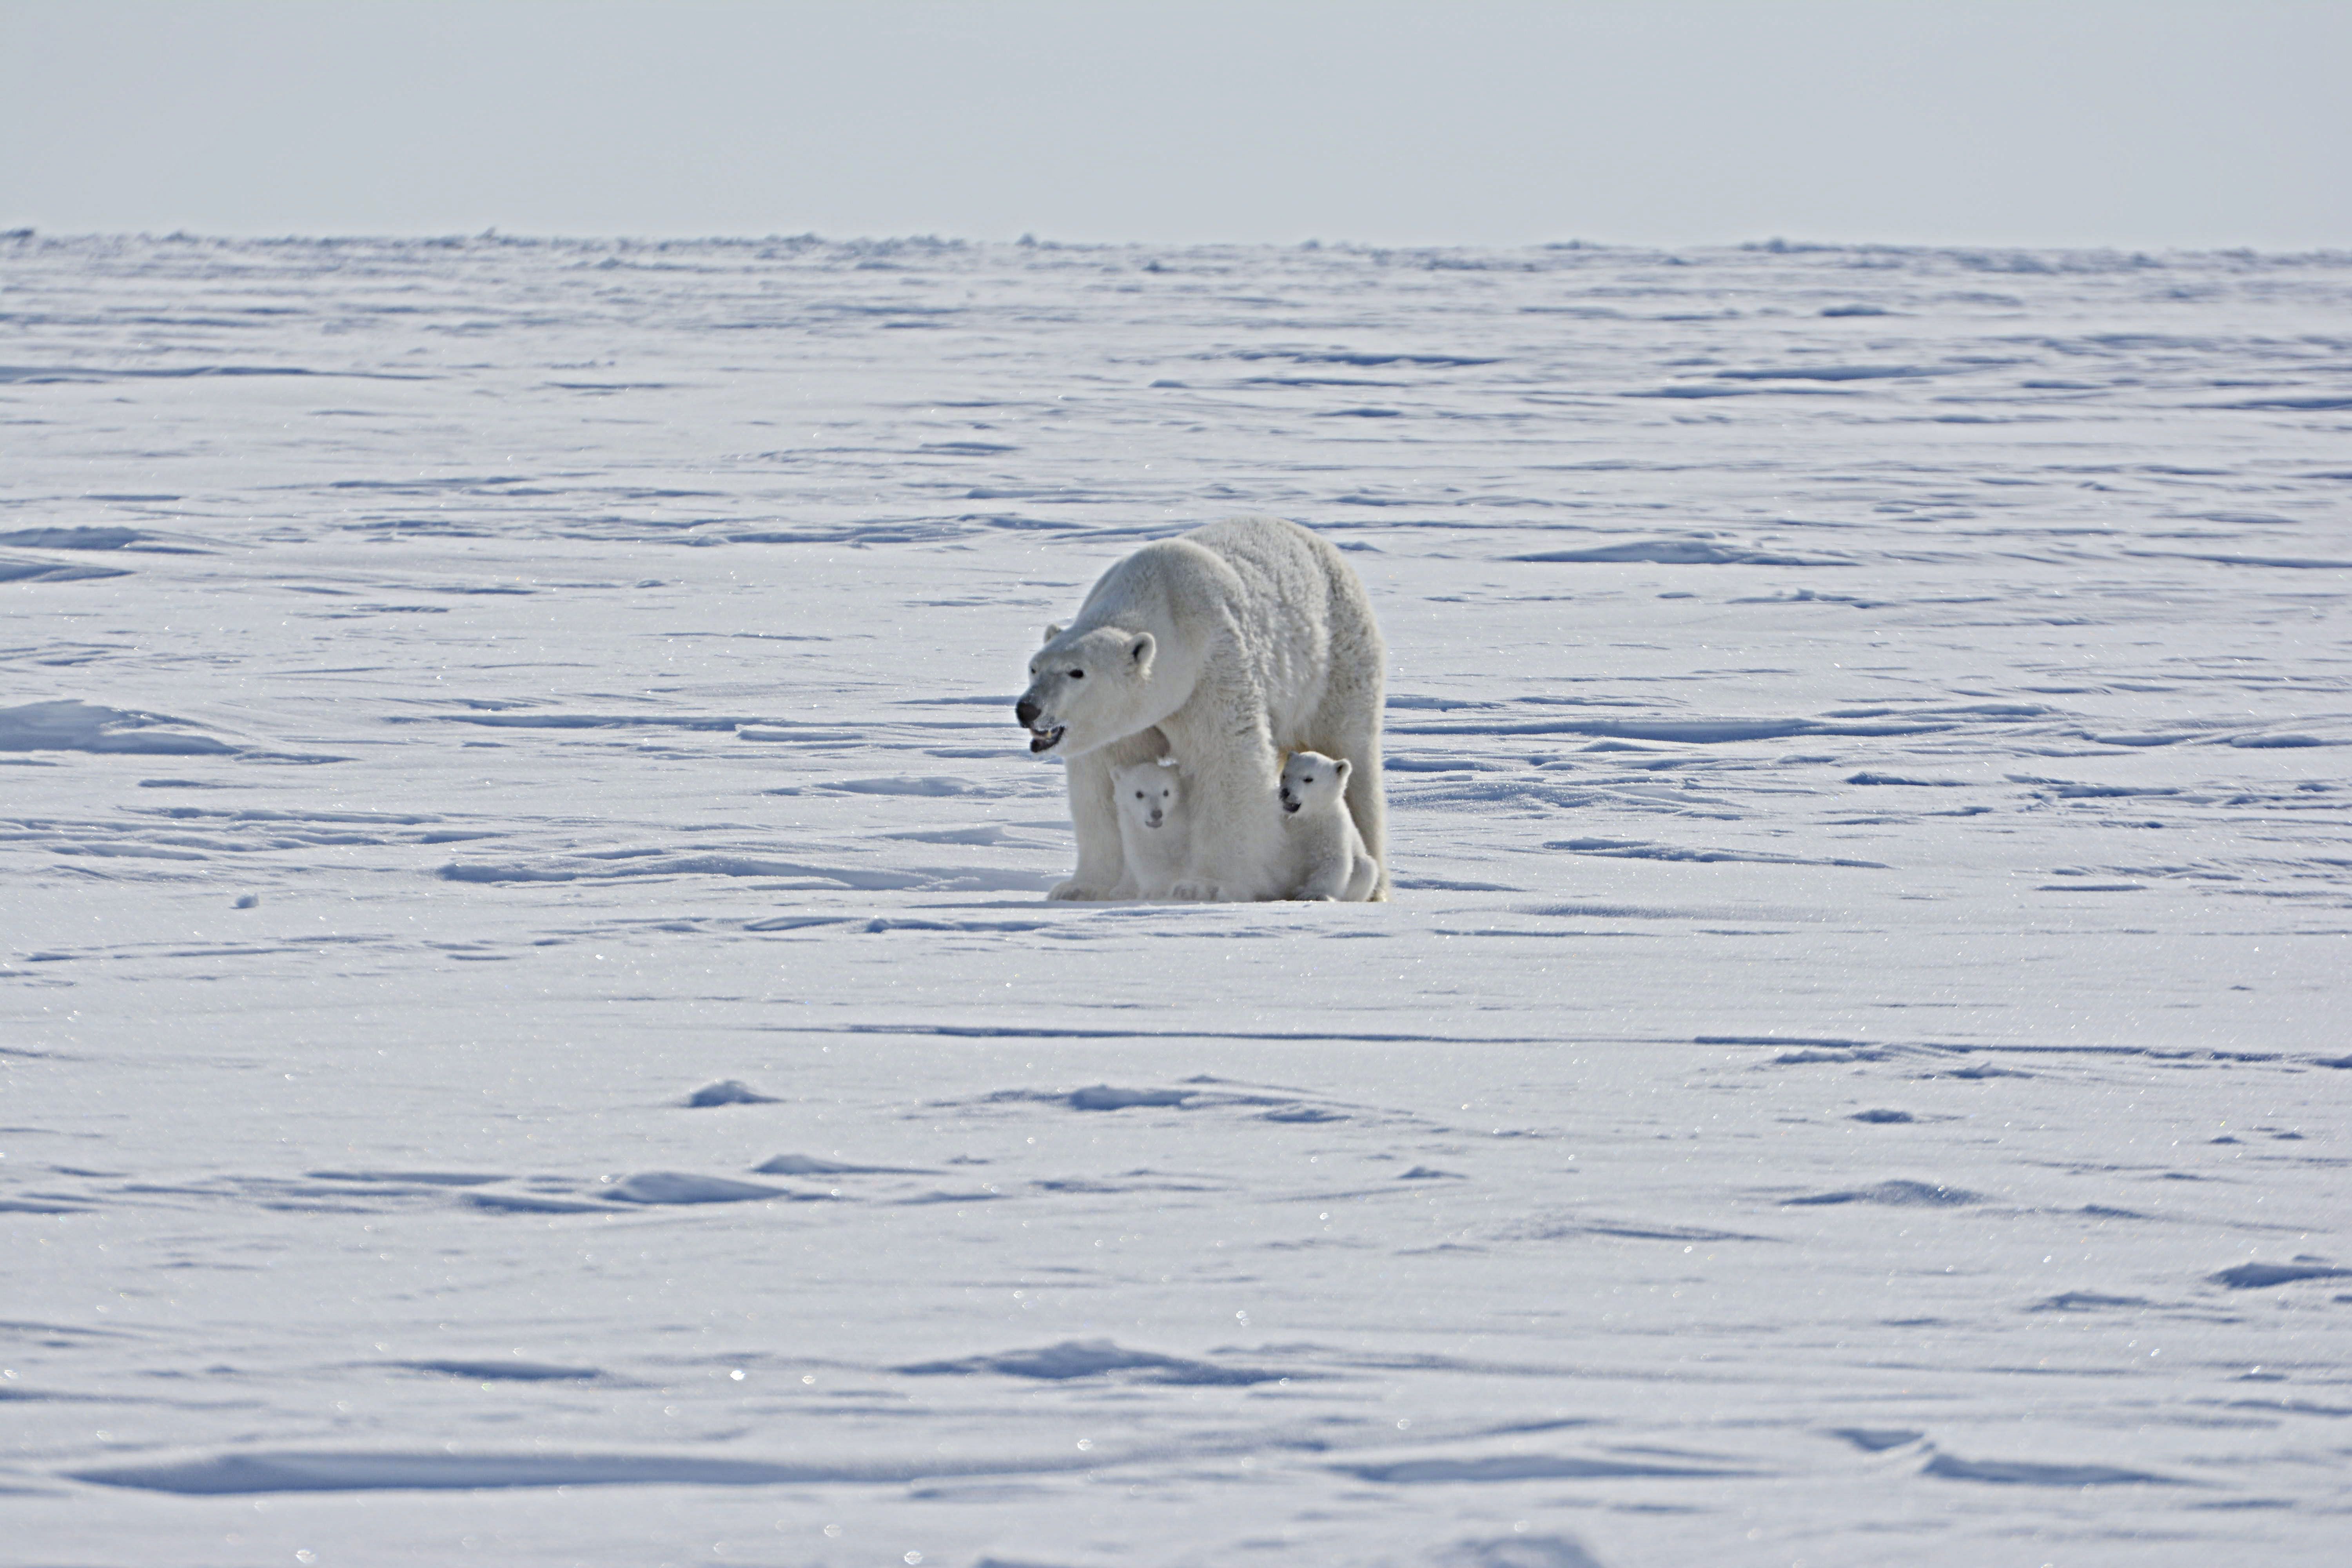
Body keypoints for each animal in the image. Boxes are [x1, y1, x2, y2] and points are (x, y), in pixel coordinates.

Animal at [1110, 757, 1195, 902]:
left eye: (1166, 792)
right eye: (1139, 794)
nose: (1157, 814)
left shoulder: (1181, 835)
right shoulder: (1136, 835)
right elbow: (1146, 861)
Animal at [1289, 752, 1374, 902]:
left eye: (1308, 779)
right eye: (1284, 775)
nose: (1285, 792)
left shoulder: (1332, 827)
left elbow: (1334, 859)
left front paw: (1312, 894)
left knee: (1365, 869)